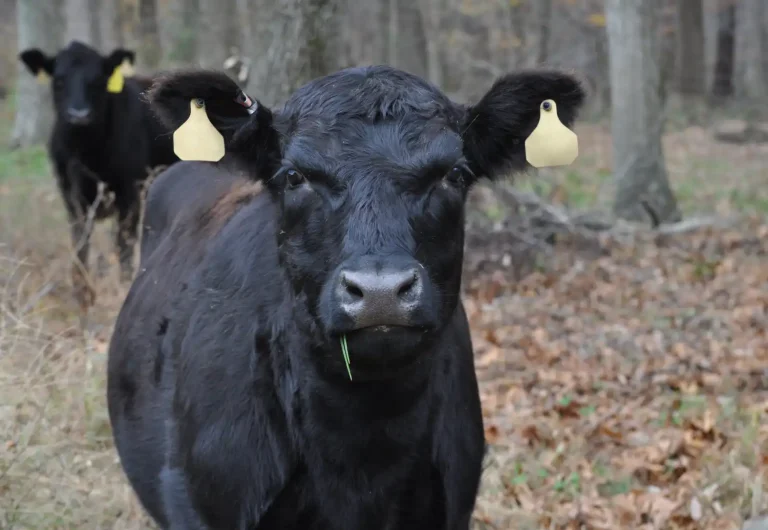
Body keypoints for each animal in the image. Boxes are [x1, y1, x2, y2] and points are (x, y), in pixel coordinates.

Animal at [18, 40, 179, 310]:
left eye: (97, 80)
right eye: (59, 80)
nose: (79, 115)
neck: (87, 151)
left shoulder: (129, 194)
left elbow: (124, 247)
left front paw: (124, 288)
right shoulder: (72, 199)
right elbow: (80, 245)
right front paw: (82, 297)